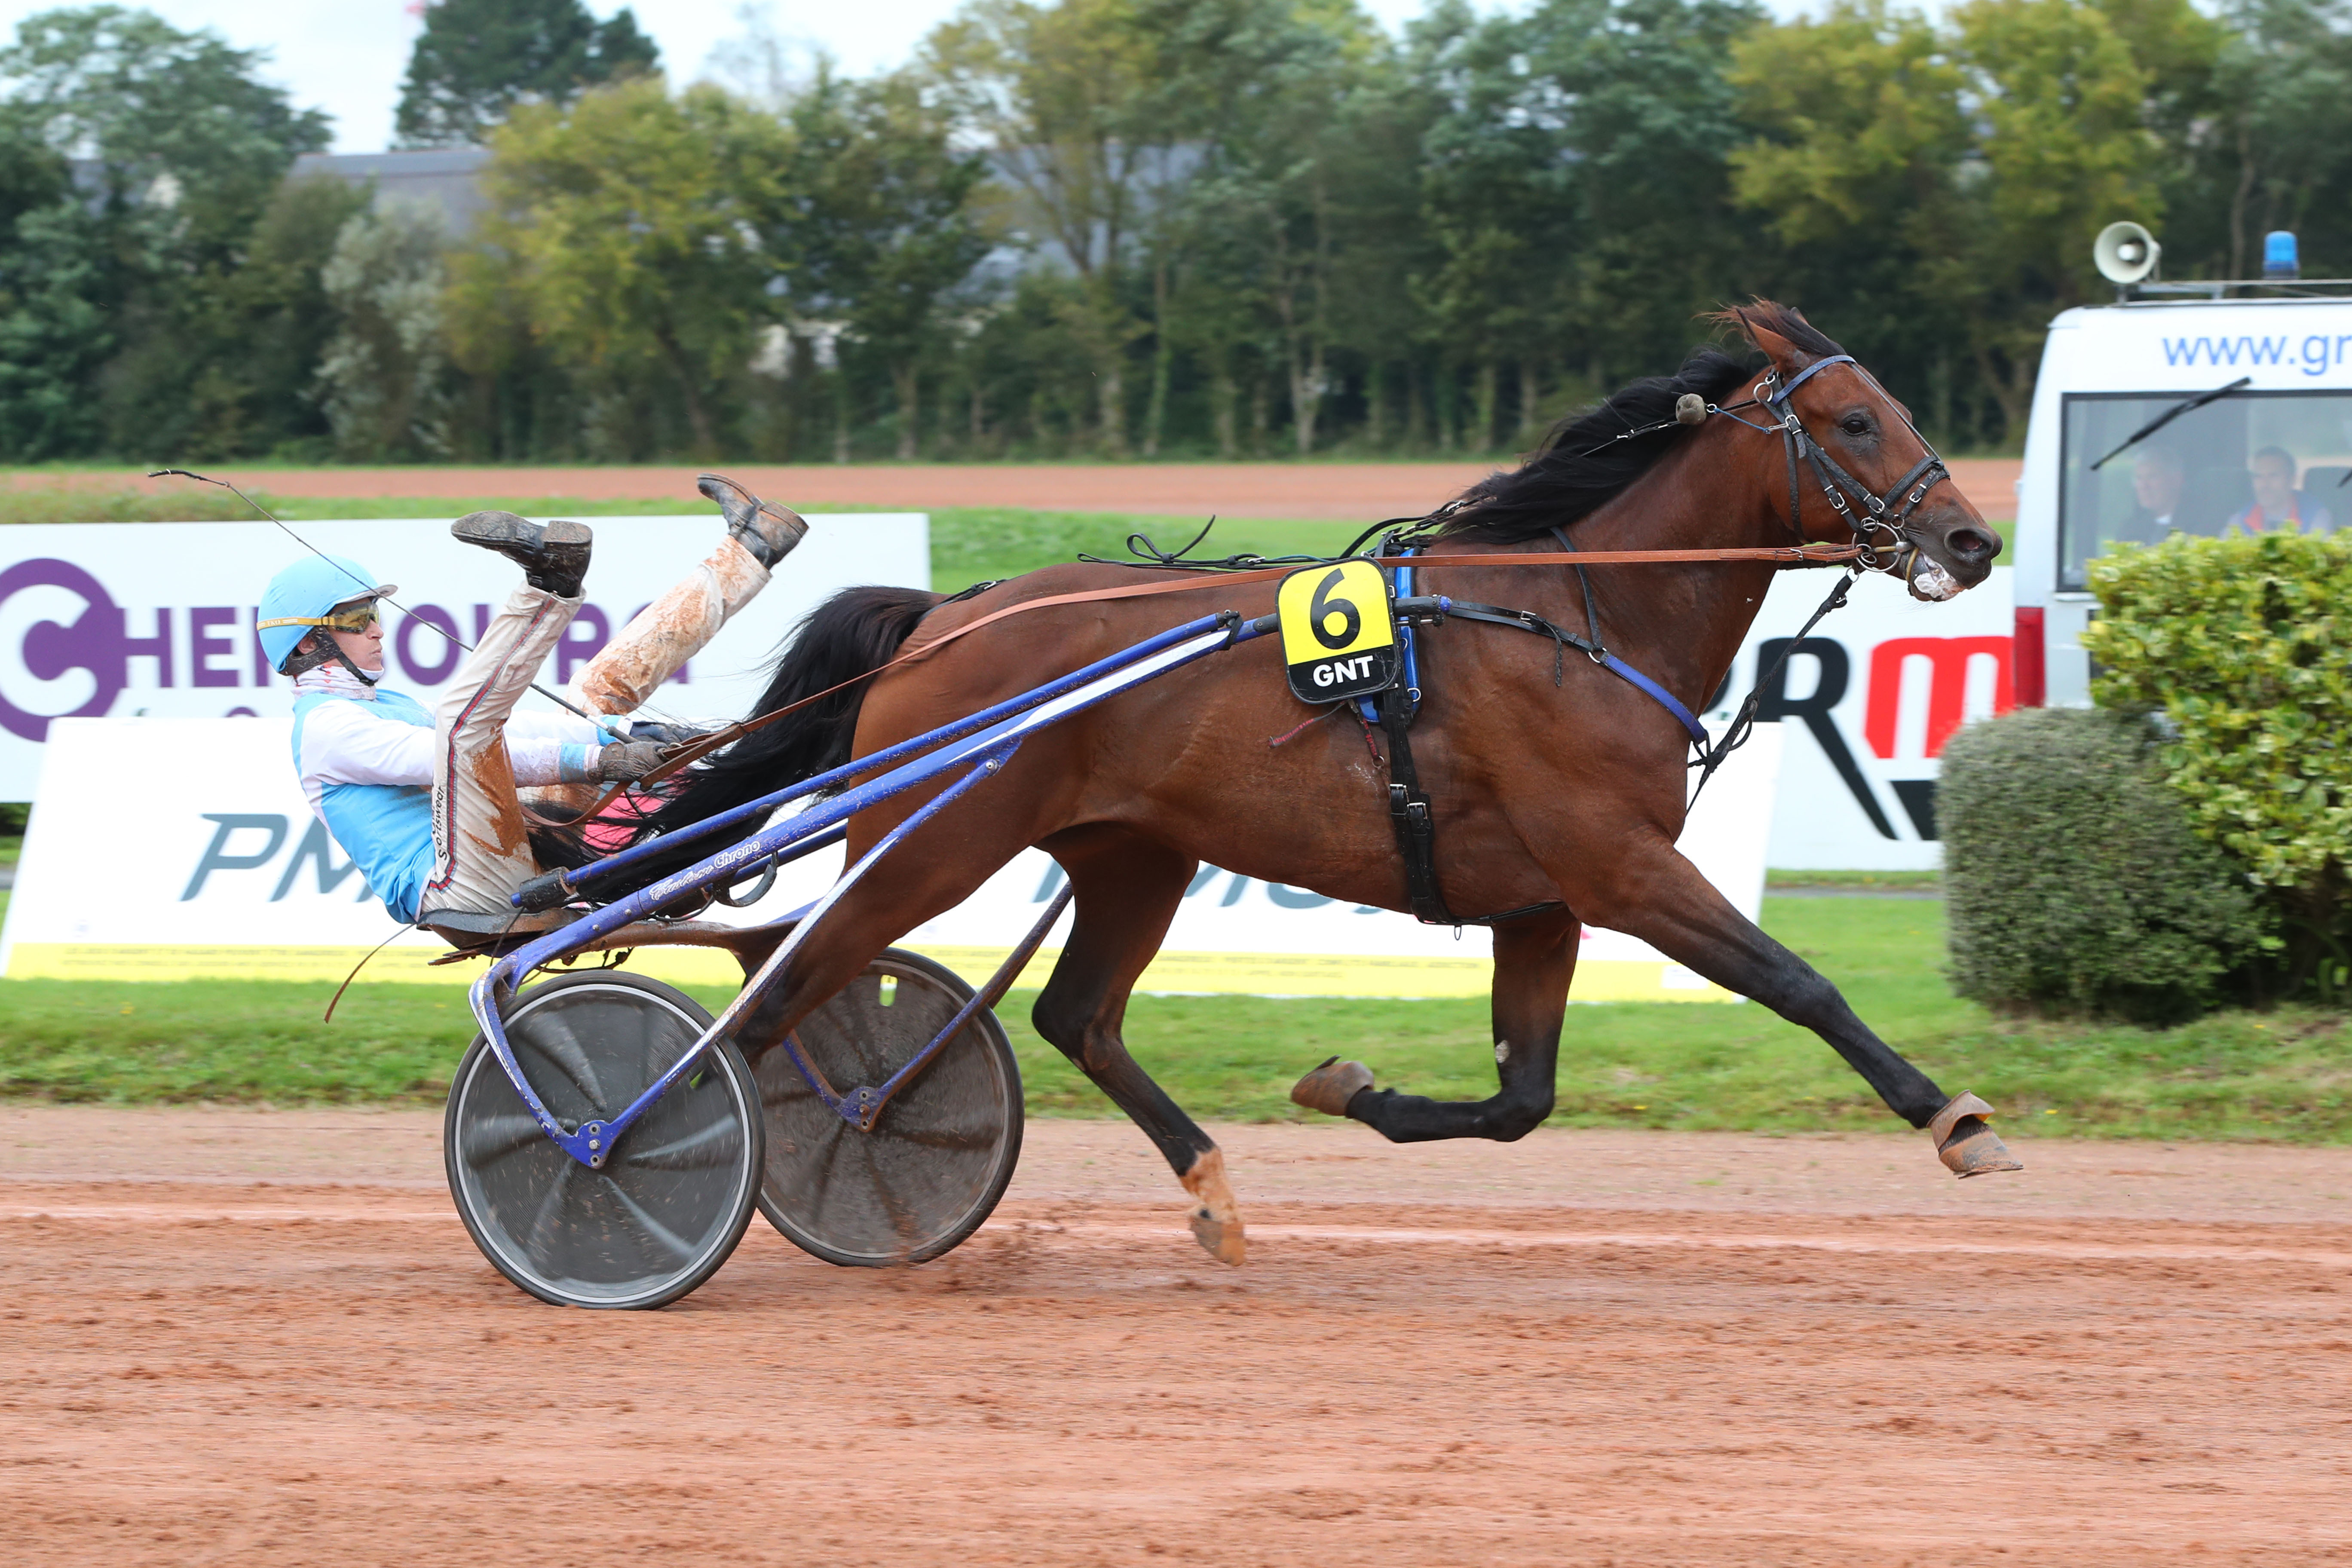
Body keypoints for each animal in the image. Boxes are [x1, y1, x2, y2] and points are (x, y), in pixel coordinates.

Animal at [635, 303, 2013, 1260]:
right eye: (1853, 422)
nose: (1971, 540)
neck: (1582, 616)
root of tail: (939, 620)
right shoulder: (1618, 867)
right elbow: (1796, 981)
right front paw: (1954, 1120)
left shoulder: (1540, 901)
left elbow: (1522, 1099)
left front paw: (1346, 1085)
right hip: (932, 844)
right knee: (770, 1003)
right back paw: (655, 1159)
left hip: (1134, 855)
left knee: (1074, 1018)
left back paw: (1207, 1191)